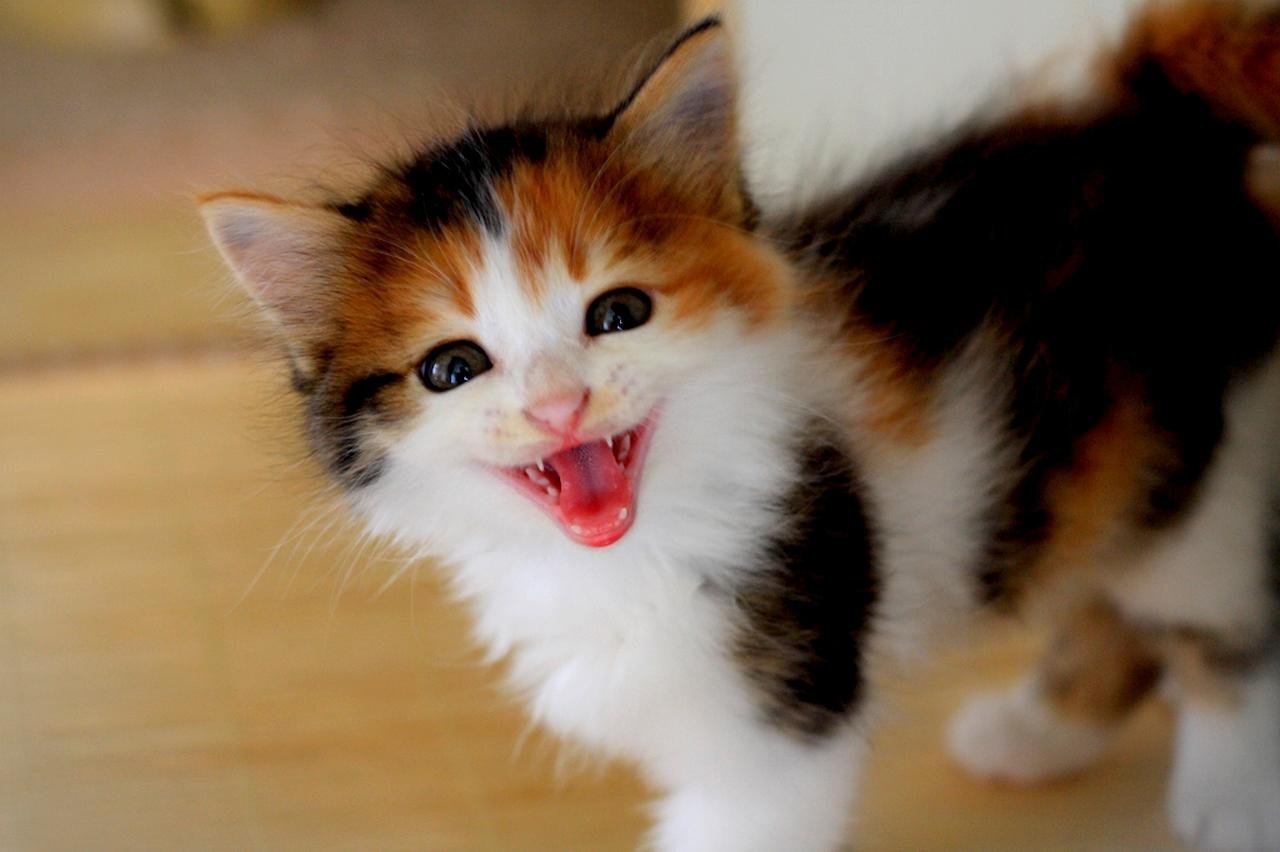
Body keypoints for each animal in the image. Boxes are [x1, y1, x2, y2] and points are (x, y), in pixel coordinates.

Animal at [200, 3, 1280, 850]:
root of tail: (1138, 107)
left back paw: (1230, 798)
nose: (558, 404)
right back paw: (1035, 736)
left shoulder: (783, 706)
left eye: (617, 313)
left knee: (1221, 619)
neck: (627, 558)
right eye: (452, 369)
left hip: (1193, 464)